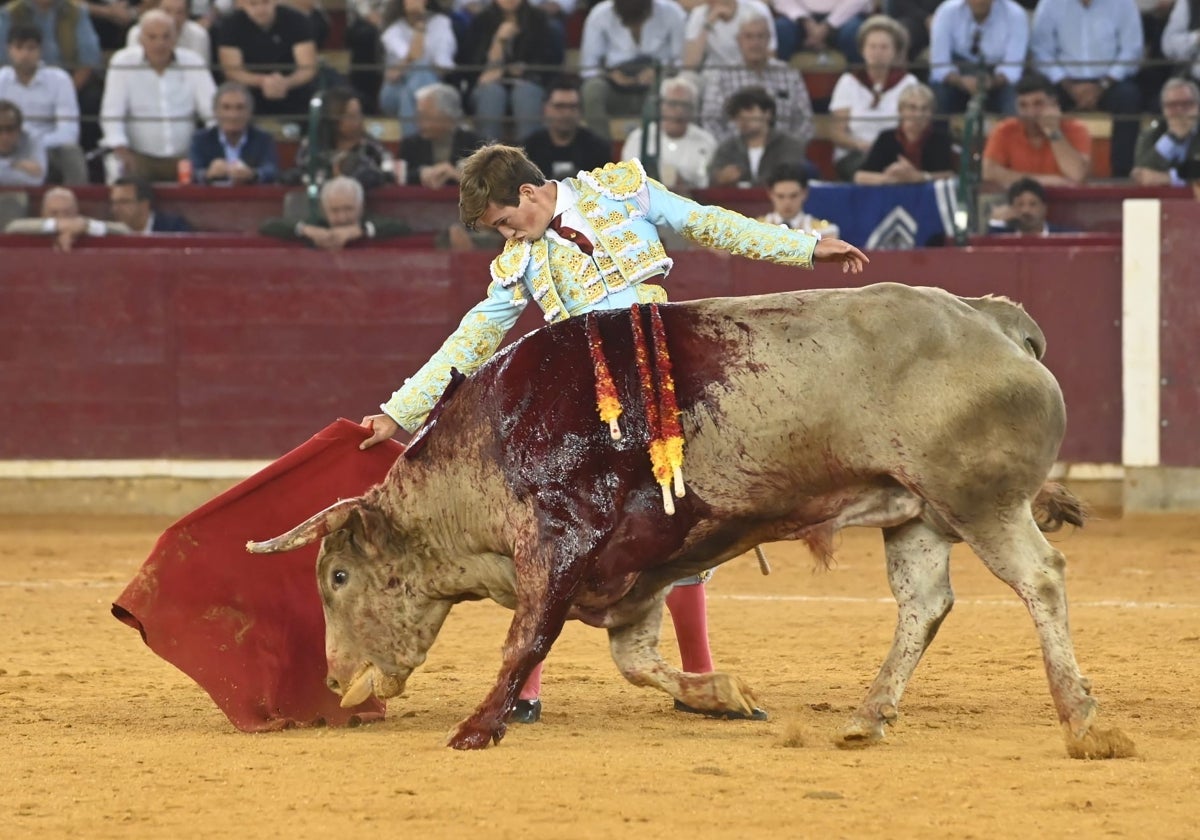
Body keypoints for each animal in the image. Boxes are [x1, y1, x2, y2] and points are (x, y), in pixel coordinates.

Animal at [246, 284, 1132, 763]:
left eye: (338, 575)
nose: (333, 680)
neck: (491, 442)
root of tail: (991, 319)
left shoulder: (558, 548)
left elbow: (526, 638)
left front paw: (477, 727)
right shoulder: (632, 574)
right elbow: (635, 659)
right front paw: (724, 695)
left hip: (983, 502)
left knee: (1039, 579)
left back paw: (1084, 722)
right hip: (915, 513)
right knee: (924, 604)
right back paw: (867, 717)